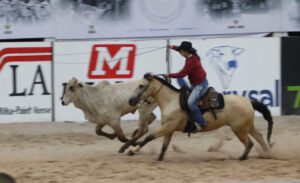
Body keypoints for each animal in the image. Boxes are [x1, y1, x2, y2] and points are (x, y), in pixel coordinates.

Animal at [127, 73, 274, 161]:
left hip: (239, 129)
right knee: (259, 137)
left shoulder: (168, 126)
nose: (131, 100)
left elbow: (148, 138)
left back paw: (242, 157)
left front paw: (132, 151)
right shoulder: (169, 129)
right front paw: (159, 158)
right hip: (247, 127)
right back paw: (267, 154)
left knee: (249, 143)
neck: (171, 101)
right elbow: (164, 146)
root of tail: (248, 101)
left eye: (141, 85)